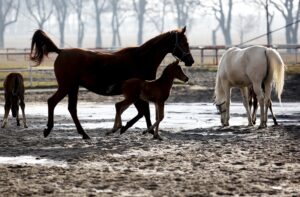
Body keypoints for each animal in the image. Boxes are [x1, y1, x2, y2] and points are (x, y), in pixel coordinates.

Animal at [29, 26, 195, 139]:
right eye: (184, 42)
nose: (191, 61)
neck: (140, 59)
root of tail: (61, 51)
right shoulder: (137, 94)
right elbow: (143, 113)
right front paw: (129, 129)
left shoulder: (141, 93)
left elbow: (144, 113)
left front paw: (143, 130)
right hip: (66, 86)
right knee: (52, 102)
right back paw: (48, 130)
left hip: (73, 88)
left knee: (71, 109)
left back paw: (84, 134)